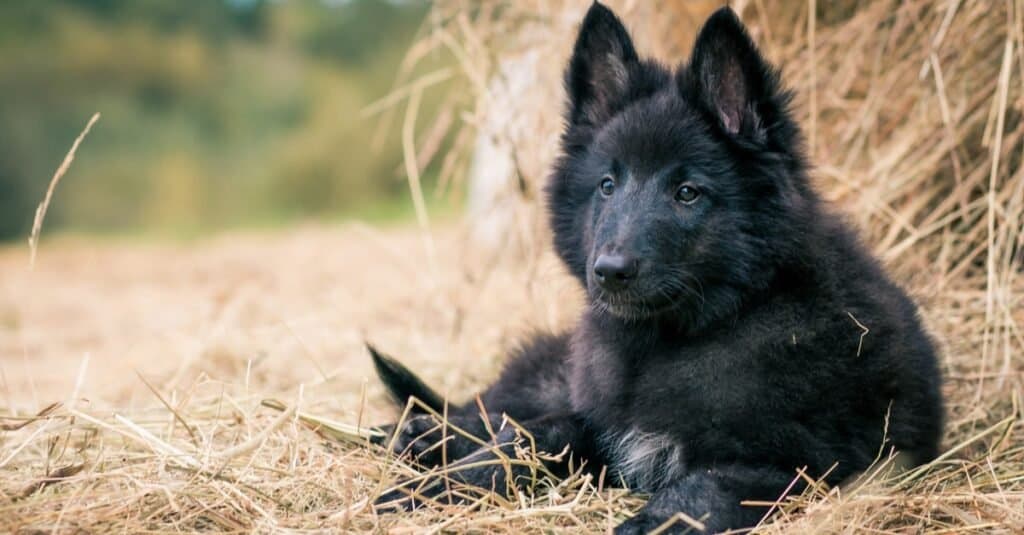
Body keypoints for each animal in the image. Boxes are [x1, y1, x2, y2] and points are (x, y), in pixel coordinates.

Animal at [370, 3, 942, 528]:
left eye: (687, 193)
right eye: (607, 185)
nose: (609, 270)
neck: (674, 341)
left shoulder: (792, 463)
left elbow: (702, 488)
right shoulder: (593, 419)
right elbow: (532, 435)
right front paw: (432, 488)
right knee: (491, 405)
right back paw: (420, 435)